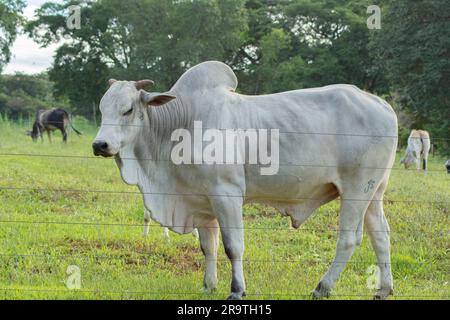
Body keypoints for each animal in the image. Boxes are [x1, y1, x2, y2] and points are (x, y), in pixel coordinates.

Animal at [91, 60, 398, 300]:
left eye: (128, 109)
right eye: (102, 109)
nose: (99, 144)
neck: (182, 126)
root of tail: (381, 104)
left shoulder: (227, 194)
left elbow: (232, 246)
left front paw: (236, 289)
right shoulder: (202, 200)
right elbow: (208, 246)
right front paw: (208, 286)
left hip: (357, 189)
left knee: (349, 238)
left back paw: (322, 287)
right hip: (375, 191)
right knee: (380, 234)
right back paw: (383, 289)